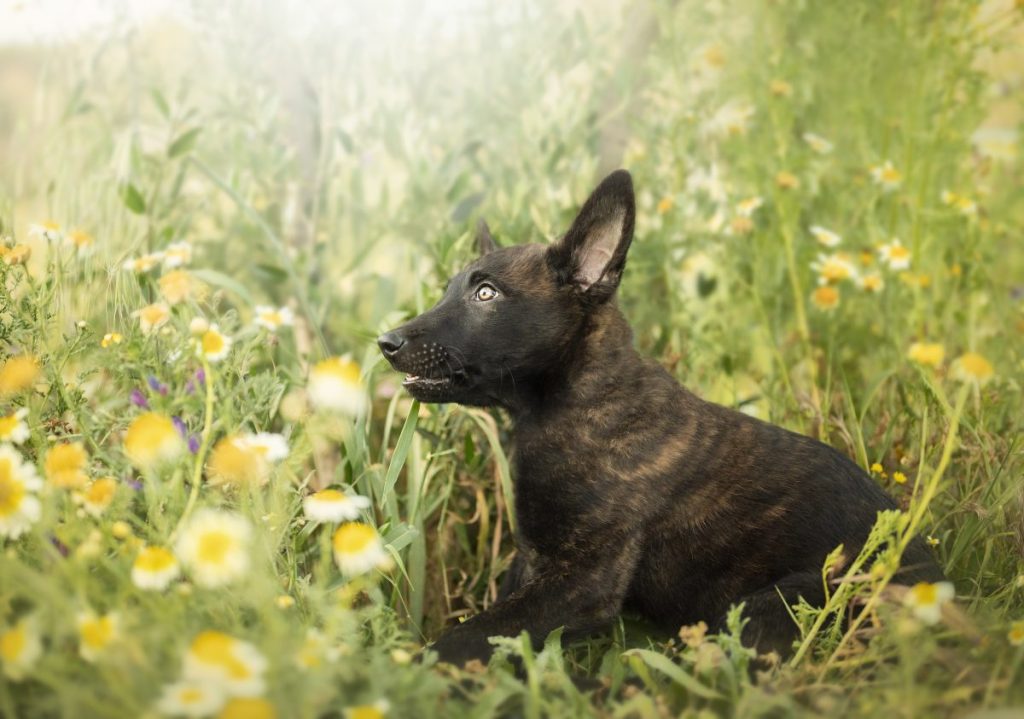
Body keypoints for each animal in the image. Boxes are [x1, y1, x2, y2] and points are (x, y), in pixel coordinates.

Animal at [376, 170, 942, 671]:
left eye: (486, 293)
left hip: (775, 602)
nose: (386, 342)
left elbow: (467, 637)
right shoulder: (533, 561)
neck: (572, 405)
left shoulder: (581, 583)